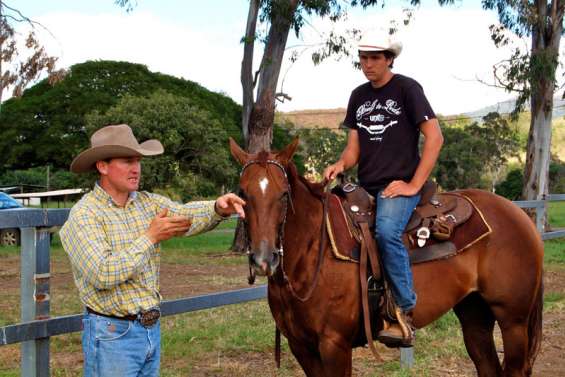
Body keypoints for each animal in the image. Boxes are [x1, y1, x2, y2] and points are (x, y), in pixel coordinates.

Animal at [228, 139, 540, 376]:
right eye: (242, 193)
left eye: (283, 195)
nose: (264, 259)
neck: (312, 254)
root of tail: (518, 214)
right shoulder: (301, 346)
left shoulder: (334, 344)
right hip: (474, 314)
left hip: (513, 321)